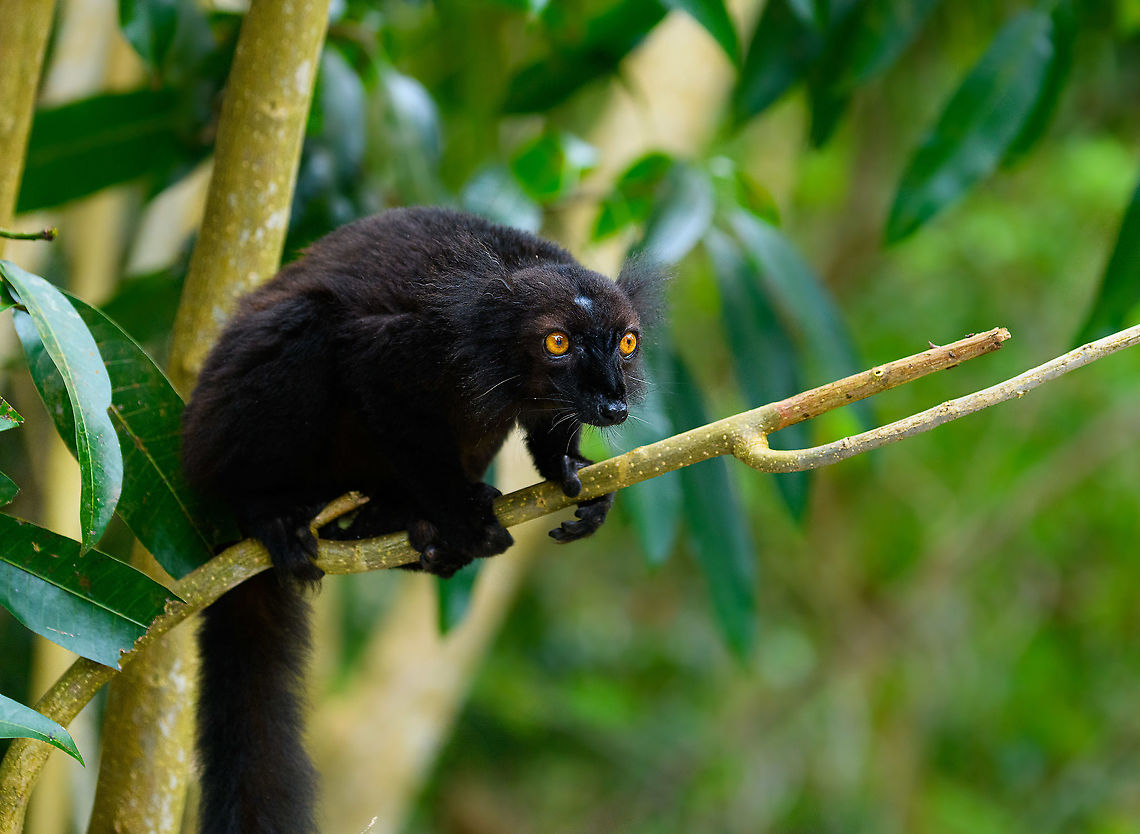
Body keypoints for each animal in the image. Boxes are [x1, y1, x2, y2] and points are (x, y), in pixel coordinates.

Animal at [180, 206, 662, 834]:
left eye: (627, 342)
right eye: (557, 342)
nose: (614, 403)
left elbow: (548, 423)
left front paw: (570, 469)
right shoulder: (424, 343)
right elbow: (375, 375)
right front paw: (461, 513)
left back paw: (400, 530)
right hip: (224, 436)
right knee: (307, 323)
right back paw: (272, 512)